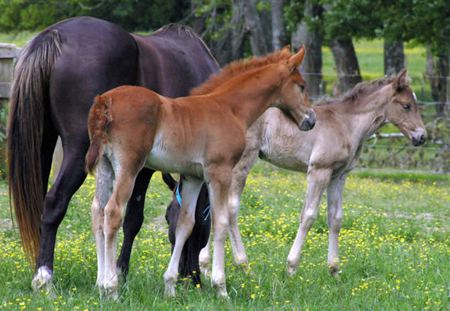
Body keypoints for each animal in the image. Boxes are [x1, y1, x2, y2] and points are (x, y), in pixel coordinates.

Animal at [7, 15, 218, 292]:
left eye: (167, 218)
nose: (189, 277)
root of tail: (54, 36)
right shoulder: (144, 166)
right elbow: (133, 219)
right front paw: (120, 271)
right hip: (79, 150)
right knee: (54, 201)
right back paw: (44, 275)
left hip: (42, 142)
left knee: (39, 203)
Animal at [85, 47, 316, 298]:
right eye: (302, 86)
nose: (311, 119)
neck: (230, 108)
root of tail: (105, 100)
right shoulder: (220, 172)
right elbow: (221, 222)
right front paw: (220, 287)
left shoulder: (193, 176)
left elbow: (186, 224)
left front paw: (170, 286)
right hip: (129, 166)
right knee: (112, 212)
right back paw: (111, 287)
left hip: (105, 166)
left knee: (97, 211)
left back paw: (99, 283)